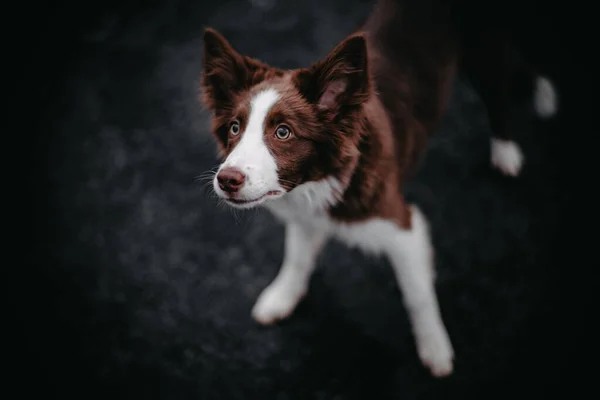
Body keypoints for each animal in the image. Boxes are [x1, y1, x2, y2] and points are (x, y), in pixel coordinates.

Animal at [200, 0, 556, 376]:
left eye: (283, 132)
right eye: (235, 127)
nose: (226, 180)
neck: (326, 178)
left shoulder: (404, 226)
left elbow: (417, 295)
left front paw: (435, 348)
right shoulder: (308, 215)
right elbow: (296, 256)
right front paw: (282, 296)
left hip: (485, 50)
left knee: (502, 92)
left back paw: (512, 143)